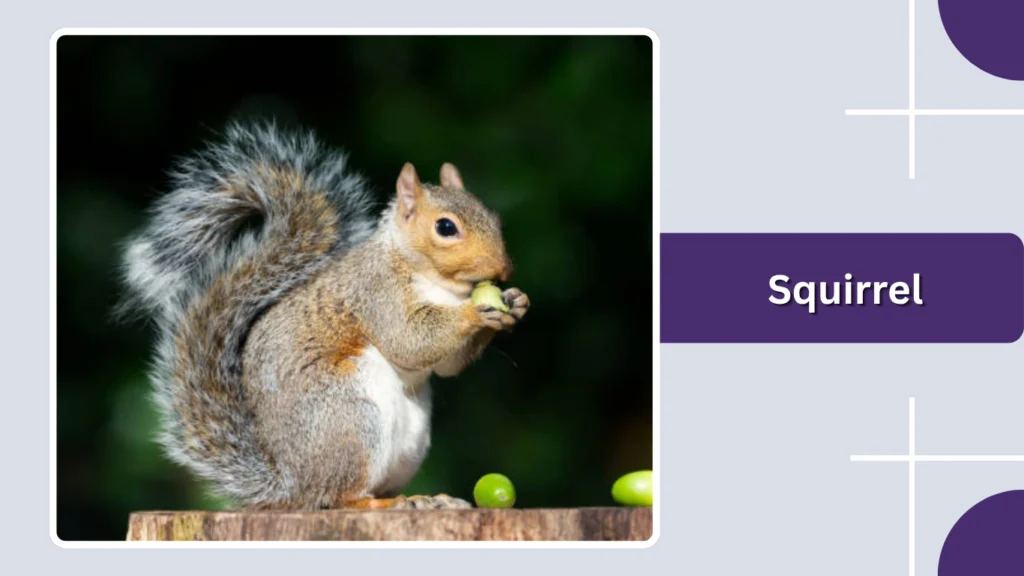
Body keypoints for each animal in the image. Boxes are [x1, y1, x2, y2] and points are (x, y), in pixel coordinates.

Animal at [118, 121, 530, 510]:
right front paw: (476, 310)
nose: (504, 269)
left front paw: (515, 302)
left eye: (494, 218)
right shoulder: (376, 292)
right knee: (339, 496)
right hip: (351, 417)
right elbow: (409, 340)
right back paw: (382, 504)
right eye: (445, 227)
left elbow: (446, 366)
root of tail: (291, 485)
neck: (438, 283)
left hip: (409, 437)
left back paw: (429, 499)